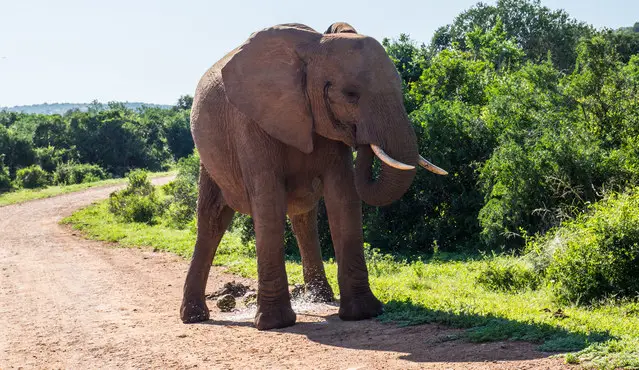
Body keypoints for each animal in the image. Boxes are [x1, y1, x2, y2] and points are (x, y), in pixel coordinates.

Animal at [180, 22, 448, 330]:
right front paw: (276, 324)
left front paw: (363, 313)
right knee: (212, 220)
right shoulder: (251, 123)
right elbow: (268, 202)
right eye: (350, 95)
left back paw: (320, 299)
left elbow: (343, 196)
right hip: (209, 159)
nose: (361, 140)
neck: (314, 48)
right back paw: (194, 317)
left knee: (302, 217)